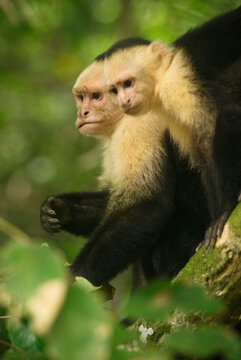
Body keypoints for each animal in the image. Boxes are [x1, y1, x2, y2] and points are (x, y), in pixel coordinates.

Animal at [40, 57, 208, 286]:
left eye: (96, 97)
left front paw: (74, 279)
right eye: (81, 97)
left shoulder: (139, 125)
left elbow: (146, 204)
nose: (83, 113)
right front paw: (59, 209)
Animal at [104, 4, 241, 250]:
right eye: (114, 90)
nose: (123, 101)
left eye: (128, 83)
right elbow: (202, 152)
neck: (161, 77)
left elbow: (228, 117)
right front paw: (214, 222)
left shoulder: (178, 82)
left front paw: (226, 208)